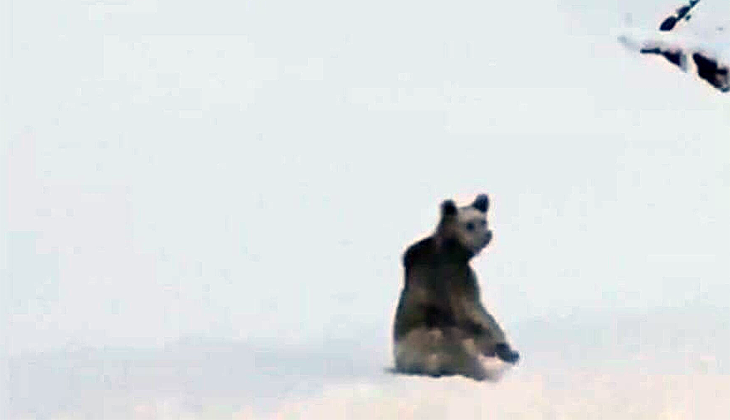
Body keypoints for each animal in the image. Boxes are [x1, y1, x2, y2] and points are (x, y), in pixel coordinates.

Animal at [392, 194, 516, 380]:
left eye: (484, 220)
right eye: (469, 224)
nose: (487, 235)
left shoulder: (462, 281)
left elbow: (479, 313)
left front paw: (505, 350)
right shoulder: (445, 282)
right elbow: (468, 316)